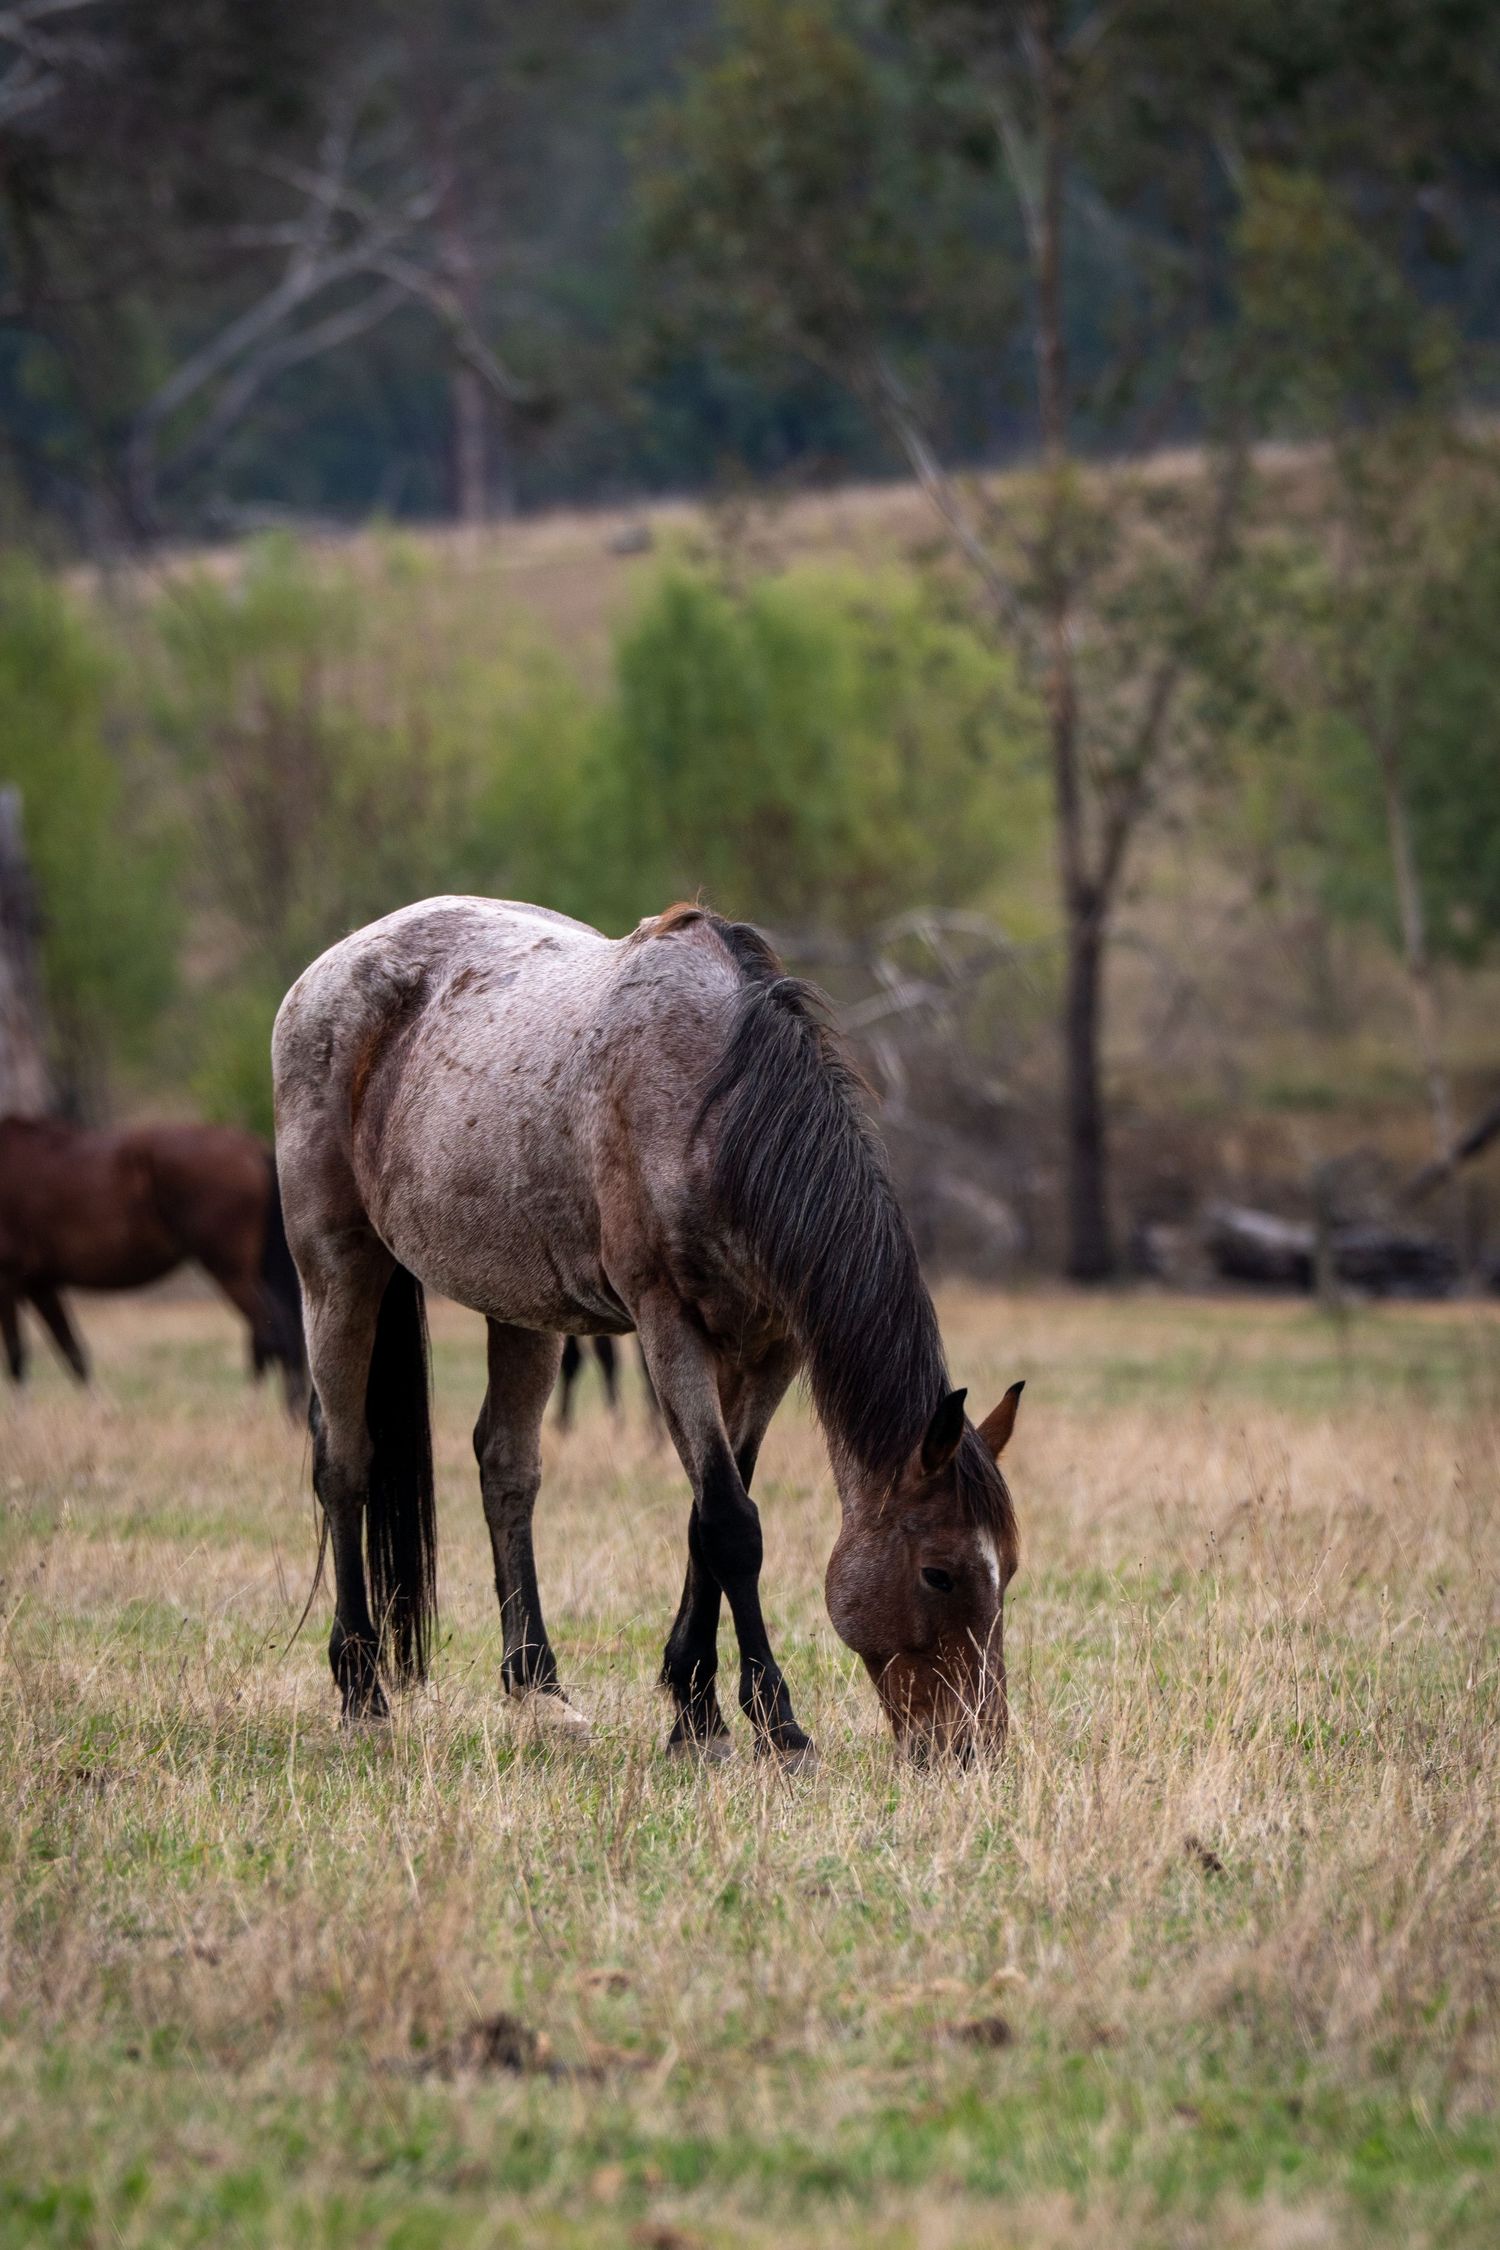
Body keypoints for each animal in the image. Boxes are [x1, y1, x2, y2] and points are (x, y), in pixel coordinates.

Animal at [0, 1116, 307, 1411]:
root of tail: (252, 1148)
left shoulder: (10, 1279)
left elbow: (16, 1351)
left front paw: (22, 1419)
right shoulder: (41, 1284)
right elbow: (70, 1349)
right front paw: (101, 1414)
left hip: (231, 1273)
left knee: (271, 1334)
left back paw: (253, 1414)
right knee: (274, 1333)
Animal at [272, 897, 1022, 1762]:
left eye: (1009, 1569)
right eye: (939, 1572)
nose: (973, 1746)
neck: (719, 1116)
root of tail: (329, 969)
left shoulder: (771, 1348)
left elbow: (710, 1515)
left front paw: (693, 1708)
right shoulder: (671, 1327)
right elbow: (732, 1524)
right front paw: (775, 1724)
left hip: (520, 1306)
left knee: (506, 1469)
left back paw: (539, 1692)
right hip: (336, 1266)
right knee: (344, 1462)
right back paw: (361, 1688)